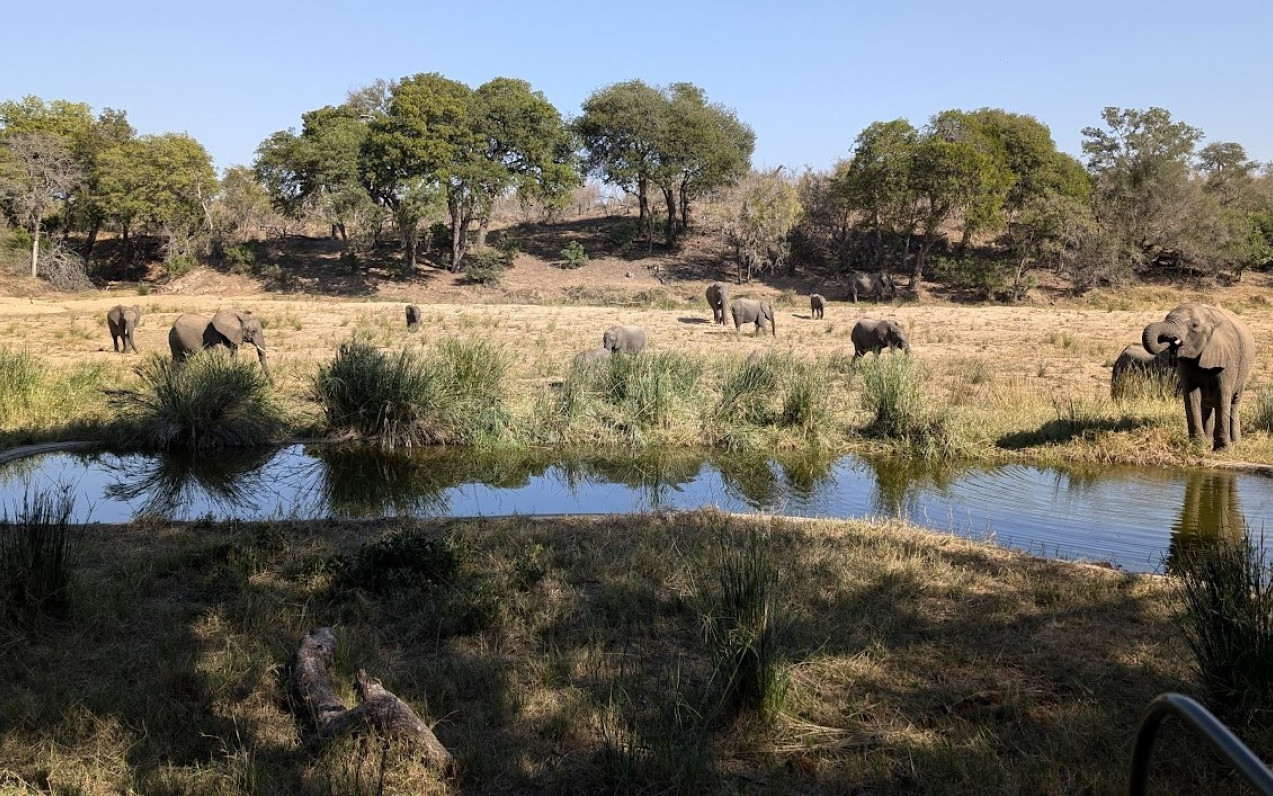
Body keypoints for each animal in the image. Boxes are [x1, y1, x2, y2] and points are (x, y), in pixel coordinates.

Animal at [1145, 300, 1252, 448]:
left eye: (1194, 326)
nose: (1173, 343)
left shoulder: (1229, 358)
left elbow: (1222, 395)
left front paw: (1222, 449)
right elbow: (1191, 396)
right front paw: (1197, 445)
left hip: (1243, 372)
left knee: (1233, 404)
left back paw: (1235, 444)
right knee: (1206, 405)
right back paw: (1208, 442)